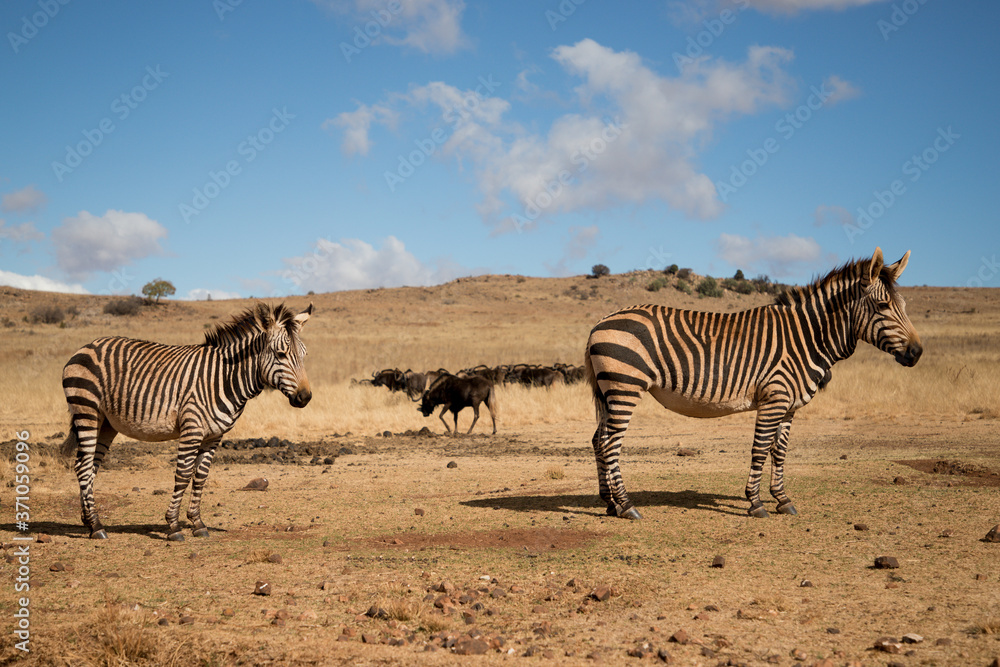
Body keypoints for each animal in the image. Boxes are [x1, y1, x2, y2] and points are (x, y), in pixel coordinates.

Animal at [61, 302, 313, 540]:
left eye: (304, 355)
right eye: (280, 354)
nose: (305, 397)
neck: (224, 378)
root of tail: (87, 346)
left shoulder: (214, 436)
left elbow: (200, 477)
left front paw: (197, 523)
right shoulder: (192, 429)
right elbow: (183, 475)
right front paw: (173, 526)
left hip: (106, 423)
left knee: (89, 466)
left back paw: (88, 521)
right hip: (87, 410)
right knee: (83, 466)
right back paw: (96, 526)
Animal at [584, 248, 922, 520]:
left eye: (905, 306)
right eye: (882, 307)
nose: (917, 353)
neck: (807, 338)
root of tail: (599, 323)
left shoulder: (789, 406)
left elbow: (779, 451)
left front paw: (783, 499)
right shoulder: (774, 399)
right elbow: (760, 449)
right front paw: (756, 503)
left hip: (607, 392)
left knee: (598, 440)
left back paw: (610, 504)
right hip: (625, 387)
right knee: (611, 444)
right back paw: (627, 506)